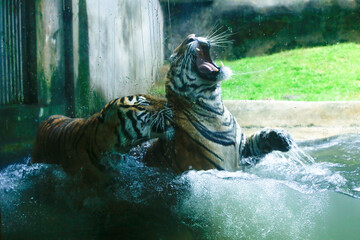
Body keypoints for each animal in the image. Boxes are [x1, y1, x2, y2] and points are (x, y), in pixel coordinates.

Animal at [143, 34, 292, 172]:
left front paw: (281, 136)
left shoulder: (244, 152)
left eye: (193, 37)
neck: (216, 105)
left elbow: (256, 141)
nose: (191, 37)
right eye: (174, 57)